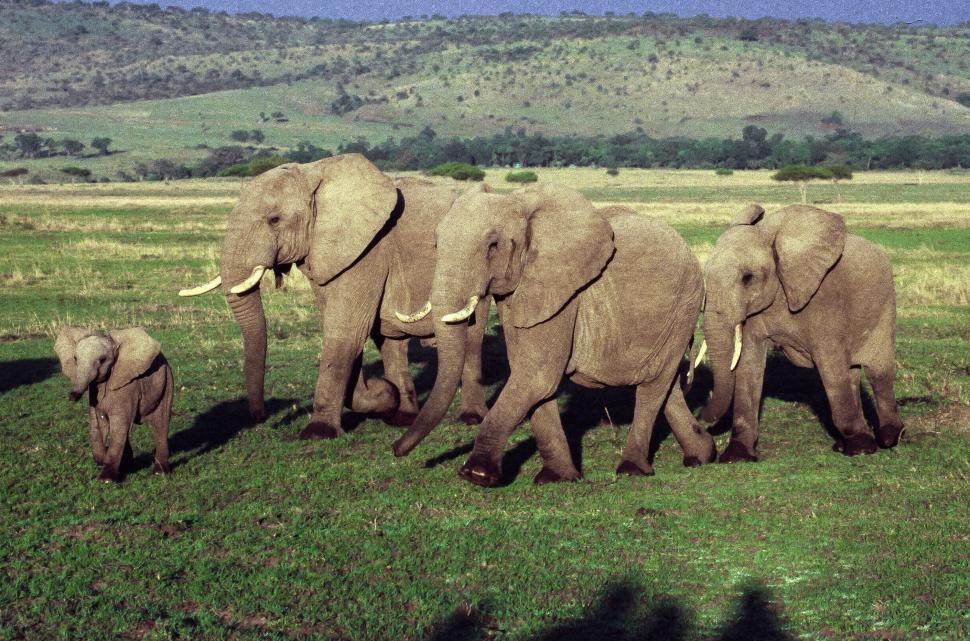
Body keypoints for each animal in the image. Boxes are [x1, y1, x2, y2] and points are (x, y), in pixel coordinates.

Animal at [54, 326, 173, 482]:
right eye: (75, 359)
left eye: (102, 360)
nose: (72, 395)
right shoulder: (94, 393)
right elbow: (98, 421)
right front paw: (105, 460)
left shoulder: (128, 387)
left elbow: (118, 424)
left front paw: (106, 480)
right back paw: (127, 467)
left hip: (167, 384)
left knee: (160, 423)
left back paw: (160, 472)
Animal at [179, 154, 489, 439]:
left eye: (274, 220)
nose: (261, 417)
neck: (315, 173)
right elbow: (346, 328)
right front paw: (384, 395)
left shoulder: (369, 250)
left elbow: (346, 330)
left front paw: (319, 432)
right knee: (392, 341)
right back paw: (402, 416)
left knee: (471, 339)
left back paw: (471, 418)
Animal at [391, 183, 716, 486]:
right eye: (436, 243)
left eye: (493, 245)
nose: (396, 449)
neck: (520, 205)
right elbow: (532, 379)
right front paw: (558, 477)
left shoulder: (563, 293)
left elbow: (538, 375)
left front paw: (476, 475)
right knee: (667, 385)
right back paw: (702, 455)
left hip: (684, 306)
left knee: (653, 387)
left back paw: (632, 469)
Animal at [699, 204, 903, 461]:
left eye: (747, 278)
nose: (701, 413)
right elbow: (748, 363)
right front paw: (737, 457)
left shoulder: (823, 299)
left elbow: (830, 366)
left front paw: (862, 449)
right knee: (852, 374)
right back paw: (842, 445)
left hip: (885, 306)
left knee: (879, 373)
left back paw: (890, 438)